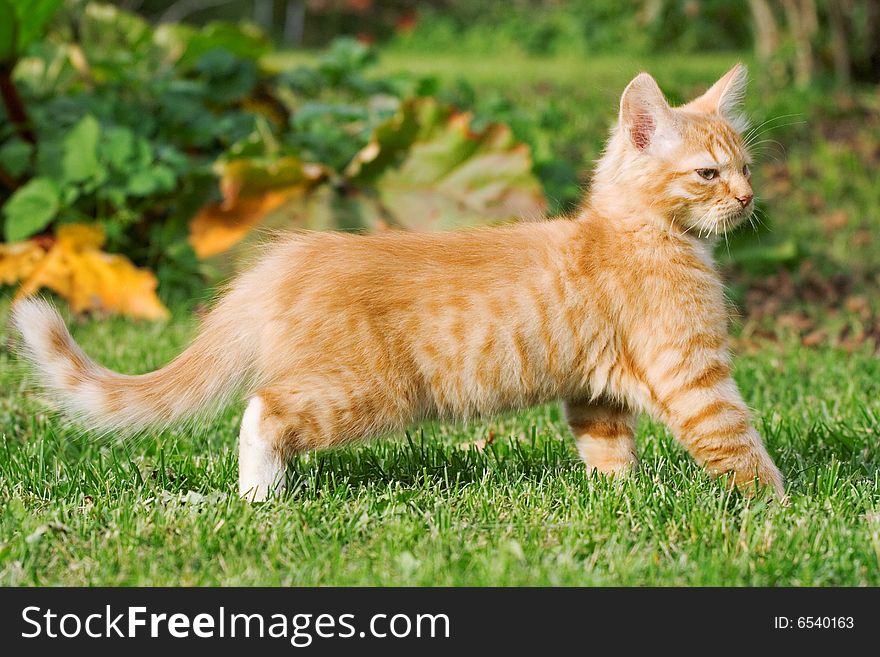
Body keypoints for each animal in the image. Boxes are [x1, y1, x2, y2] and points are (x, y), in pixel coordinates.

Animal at [12, 64, 784, 500]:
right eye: (708, 173)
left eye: (747, 166)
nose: (748, 199)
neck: (638, 231)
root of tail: (282, 262)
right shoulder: (692, 371)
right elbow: (737, 442)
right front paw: (773, 509)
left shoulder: (594, 391)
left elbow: (606, 448)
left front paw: (617, 503)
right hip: (365, 389)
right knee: (263, 410)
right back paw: (260, 497)